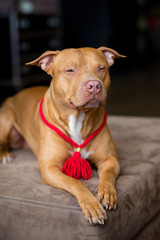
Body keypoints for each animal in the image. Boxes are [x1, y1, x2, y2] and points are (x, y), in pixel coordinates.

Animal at [0, 46, 125, 223]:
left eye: (102, 68)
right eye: (70, 70)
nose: (94, 85)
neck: (78, 119)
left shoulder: (110, 160)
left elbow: (107, 177)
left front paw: (107, 193)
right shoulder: (50, 168)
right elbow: (75, 183)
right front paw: (91, 205)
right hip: (6, 118)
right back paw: (5, 155)